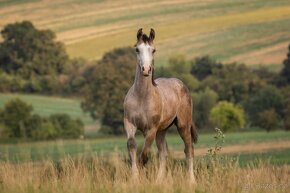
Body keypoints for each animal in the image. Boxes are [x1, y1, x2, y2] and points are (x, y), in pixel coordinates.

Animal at [123, 28, 198, 182]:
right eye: (137, 49)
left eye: (154, 50)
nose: (146, 69)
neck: (142, 97)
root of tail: (181, 84)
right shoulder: (129, 123)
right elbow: (132, 146)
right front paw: (135, 178)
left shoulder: (151, 129)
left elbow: (144, 155)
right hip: (162, 131)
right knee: (164, 153)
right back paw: (160, 180)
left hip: (182, 125)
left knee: (188, 149)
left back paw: (191, 181)